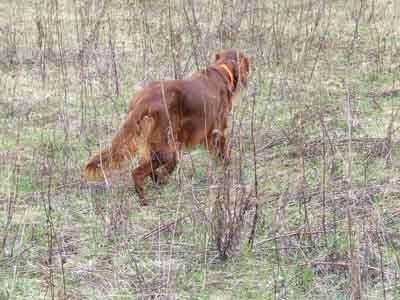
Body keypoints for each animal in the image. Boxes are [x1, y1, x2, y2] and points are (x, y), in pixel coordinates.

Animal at [84, 49, 250, 205]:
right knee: (137, 172)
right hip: (162, 148)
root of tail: (145, 100)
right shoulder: (216, 132)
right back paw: (144, 200)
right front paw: (228, 173)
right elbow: (223, 155)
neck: (222, 71)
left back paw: (157, 181)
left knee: (148, 166)